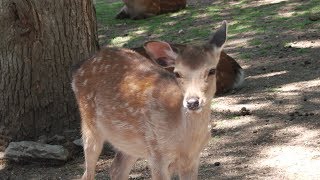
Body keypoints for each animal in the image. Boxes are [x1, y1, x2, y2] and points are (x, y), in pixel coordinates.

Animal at [71, 20, 229, 179]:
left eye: (212, 70)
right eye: (177, 73)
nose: (192, 102)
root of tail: (78, 69)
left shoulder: (193, 158)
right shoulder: (156, 153)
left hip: (130, 142)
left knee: (116, 168)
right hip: (89, 123)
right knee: (87, 172)